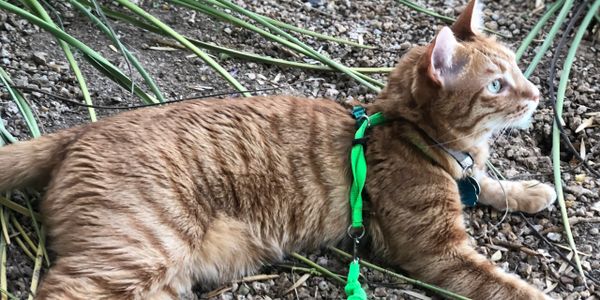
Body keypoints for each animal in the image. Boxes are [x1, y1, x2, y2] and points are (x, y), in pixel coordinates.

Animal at [0, 1, 556, 298]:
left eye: (518, 68)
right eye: (497, 85)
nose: (537, 94)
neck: (409, 132)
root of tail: (81, 131)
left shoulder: (466, 180)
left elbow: (489, 184)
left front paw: (530, 190)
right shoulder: (439, 251)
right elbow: (505, 285)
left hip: (165, 275)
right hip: (140, 250)